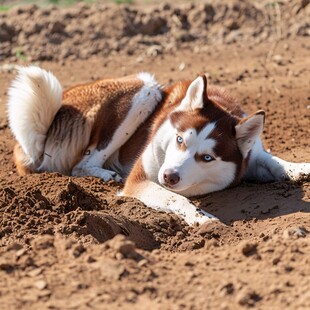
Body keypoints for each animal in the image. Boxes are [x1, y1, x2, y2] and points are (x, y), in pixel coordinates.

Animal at [7, 66, 310, 224]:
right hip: (145, 88)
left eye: (207, 158)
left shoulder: (250, 154)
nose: (169, 175)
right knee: (82, 164)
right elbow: (174, 197)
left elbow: (273, 161)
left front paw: (299, 168)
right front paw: (201, 218)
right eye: (180, 139)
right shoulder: (139, 180)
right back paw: (105, 175)